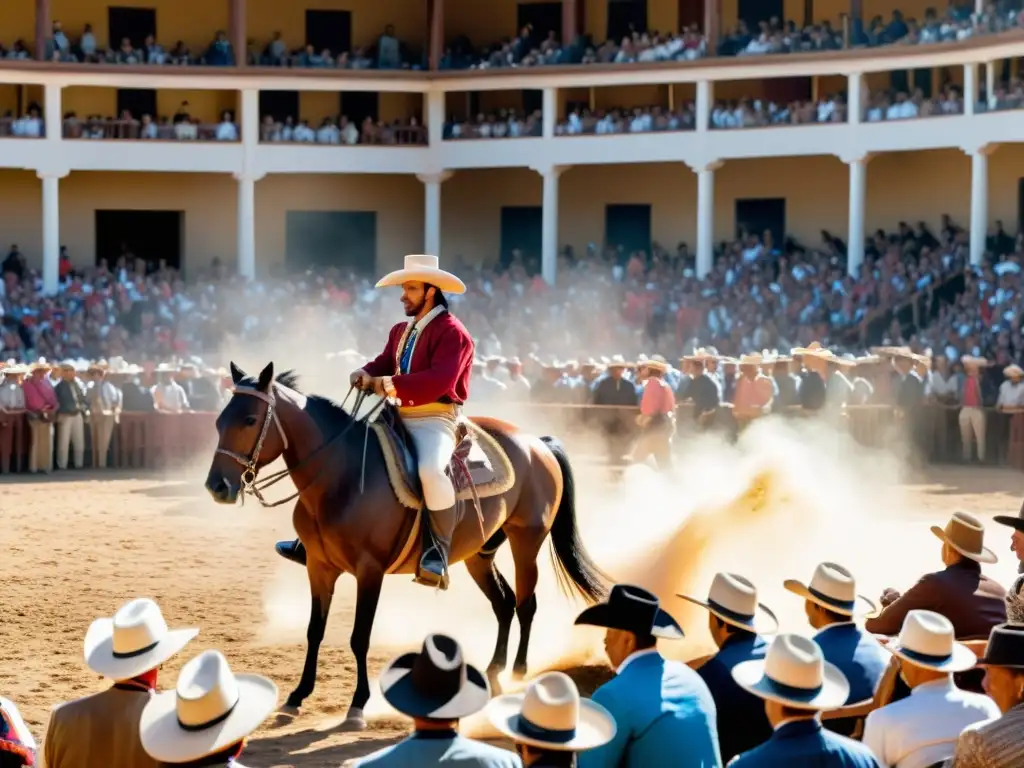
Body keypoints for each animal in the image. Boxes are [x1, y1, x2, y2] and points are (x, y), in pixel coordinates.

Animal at [205, 364, 606, 729]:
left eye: (250, 419)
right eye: (220, 420)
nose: (217, 486)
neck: (340, 475)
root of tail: (537, 442)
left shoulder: (369, 572)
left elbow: (359, 637)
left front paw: (358, 705)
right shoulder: (320, 568)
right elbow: (314, 631)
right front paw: (297, 696)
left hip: (527, 541)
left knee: (525, 603)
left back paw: (519, 674)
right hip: (479, 554)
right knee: (504, 603)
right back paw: (494, 674)